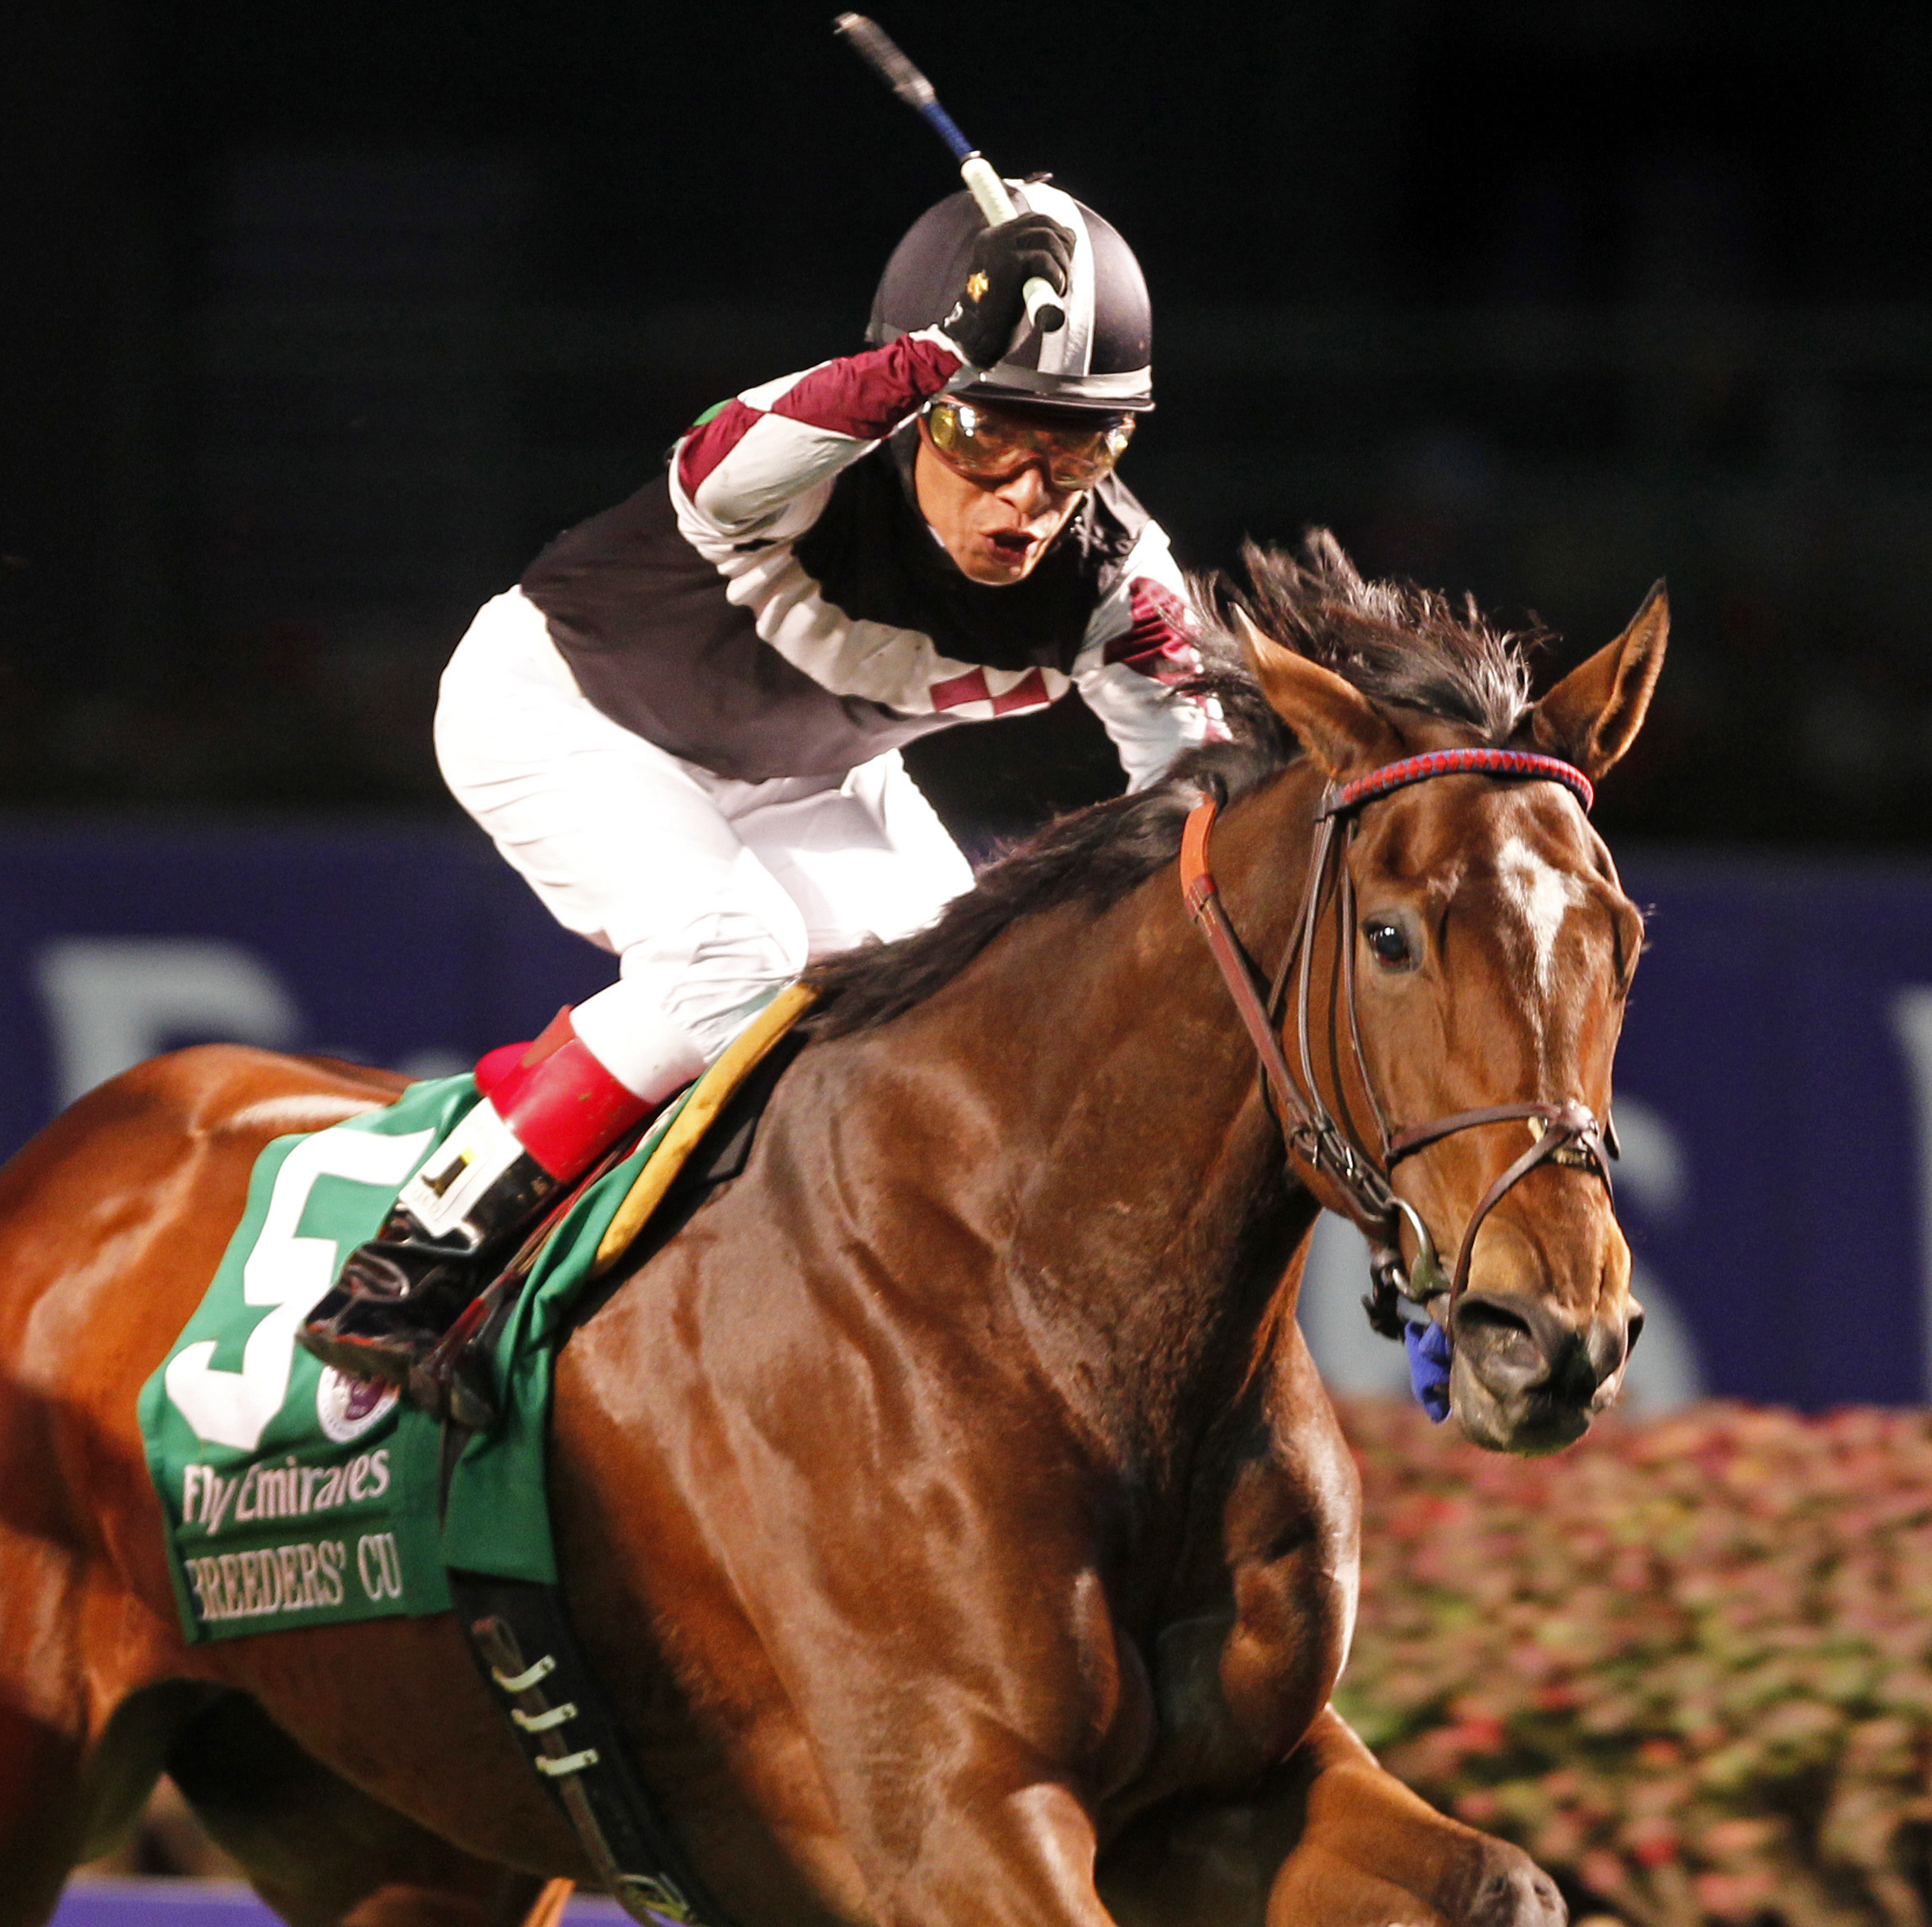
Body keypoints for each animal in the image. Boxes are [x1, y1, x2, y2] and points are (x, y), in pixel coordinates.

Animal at [0, 534, 1665, 1927]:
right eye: (1388, 935)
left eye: (1622, 938)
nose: (1548, 1336)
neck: (1039, 1292)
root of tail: (76, 1152)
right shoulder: (949, 1812)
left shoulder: (1230, 1786)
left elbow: (1505, 1882)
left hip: (398, 1823)